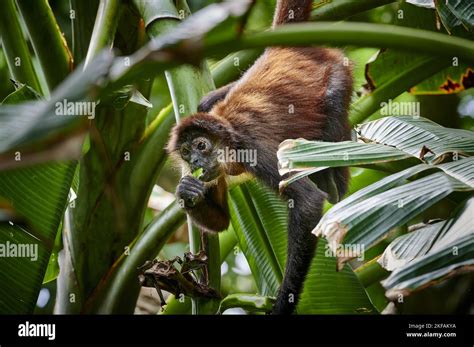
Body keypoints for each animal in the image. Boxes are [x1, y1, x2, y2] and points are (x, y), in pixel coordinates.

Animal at [167, 0, 352, 316]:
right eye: (186, 153)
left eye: (202, 146)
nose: (195, 164)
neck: (228, 133)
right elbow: (221, 223)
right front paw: (187, 190)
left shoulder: (252, 149)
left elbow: (308, 202)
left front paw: (283, 304)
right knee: (206, 102)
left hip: (338, 72)